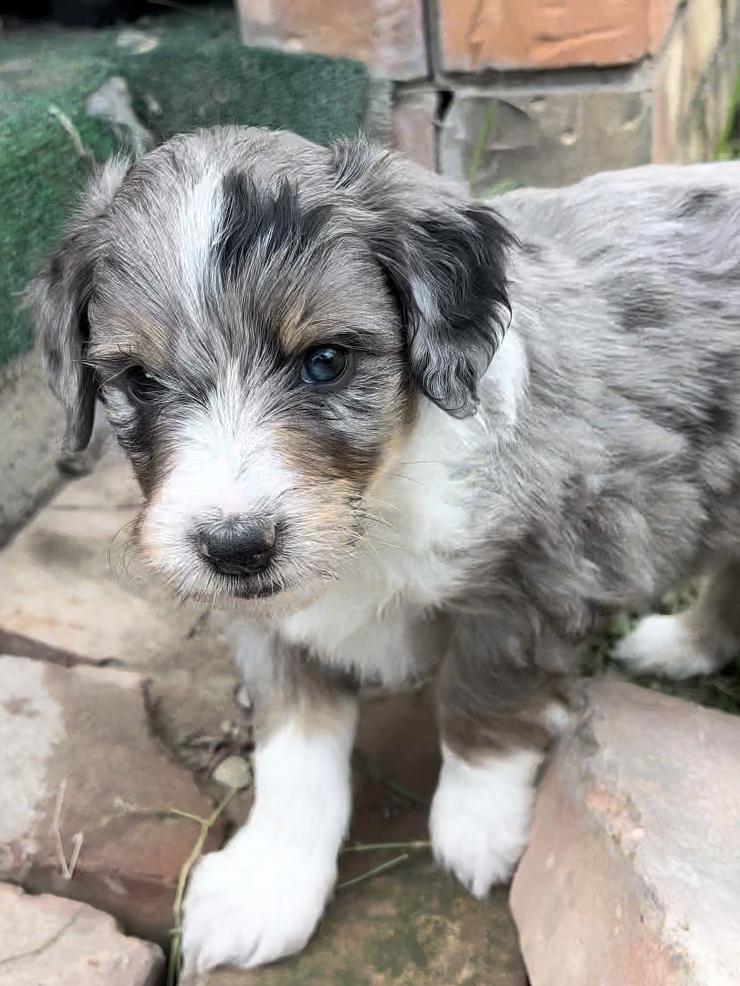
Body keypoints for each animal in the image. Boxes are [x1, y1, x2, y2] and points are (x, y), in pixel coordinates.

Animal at [34, 126, 740, 973]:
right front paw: (268, 887)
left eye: (326, 361)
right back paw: (685, 646)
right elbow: (294, 754)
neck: (378, 497)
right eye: (139, 380)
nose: (235, 548)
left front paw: (476, 828)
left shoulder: (535, 576)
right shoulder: (267, 620)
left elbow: (481, 699)